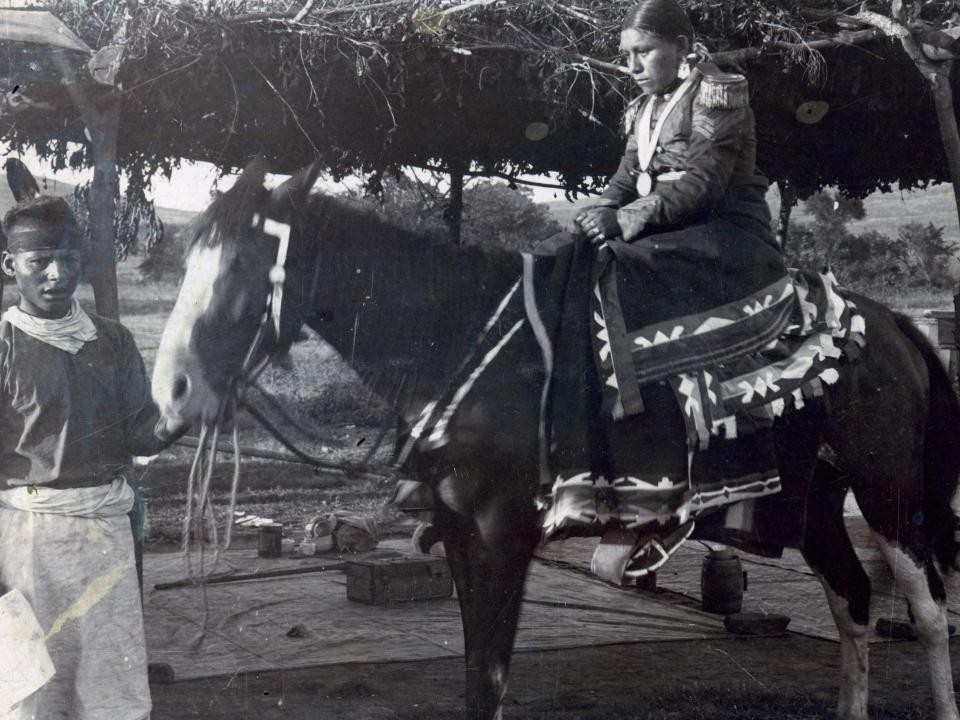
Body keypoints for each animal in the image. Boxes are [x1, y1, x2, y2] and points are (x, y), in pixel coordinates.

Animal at [148, 163, 960, 720]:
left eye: (240, 266)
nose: (173, 393)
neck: (460, 336)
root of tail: (892, 324)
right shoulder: (458, 534)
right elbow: (476, 674)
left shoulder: (503, 534)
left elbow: (492, 677)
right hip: (816, 500)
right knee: (853, 601)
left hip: (888, 491)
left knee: (923, 610)